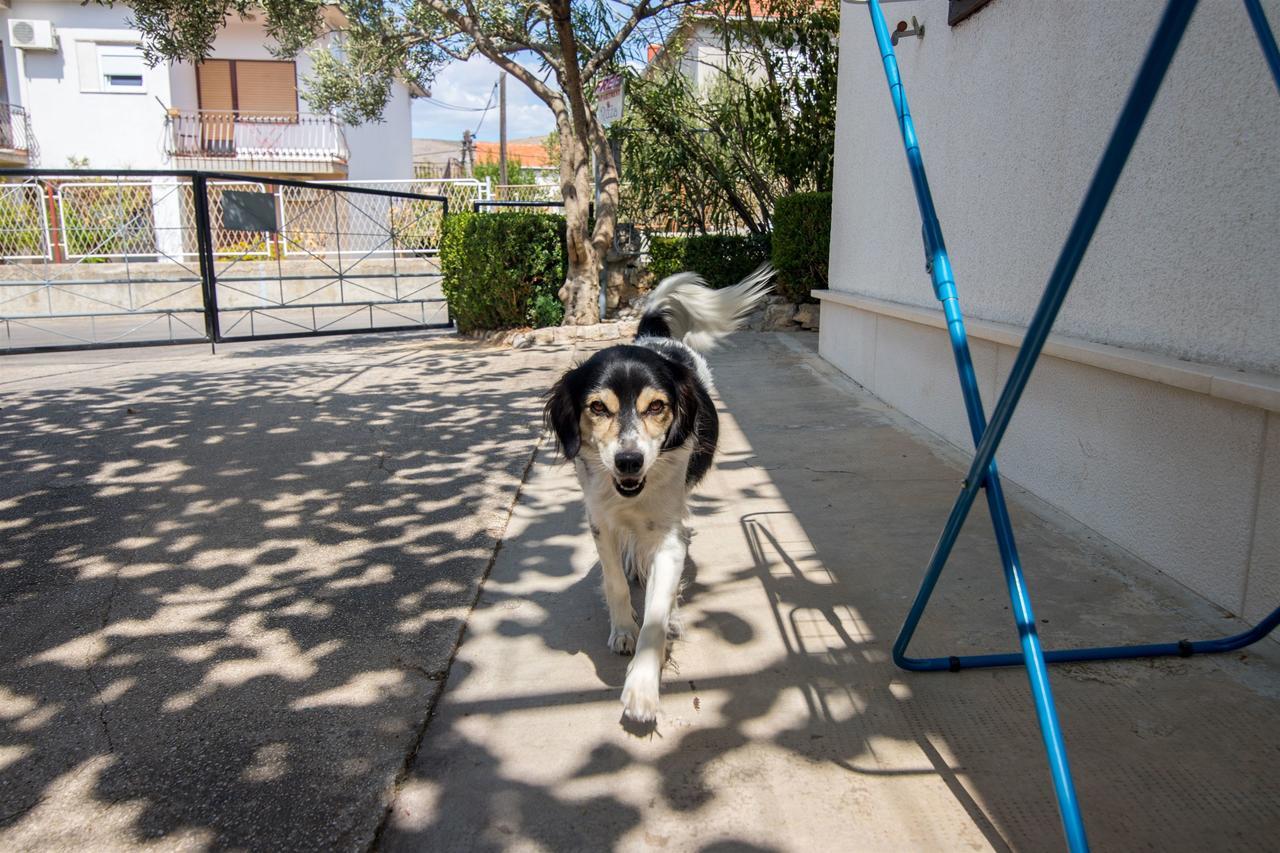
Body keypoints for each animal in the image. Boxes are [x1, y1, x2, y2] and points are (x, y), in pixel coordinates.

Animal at [542, 266, 768, 717]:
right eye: (598, 408)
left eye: (657, 407)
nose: (629, 461)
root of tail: (651, 337)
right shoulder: (601, 521)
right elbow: (613, 580)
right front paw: (623, 628)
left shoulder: (670, 535)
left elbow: (658, 608)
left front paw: (643, 686)